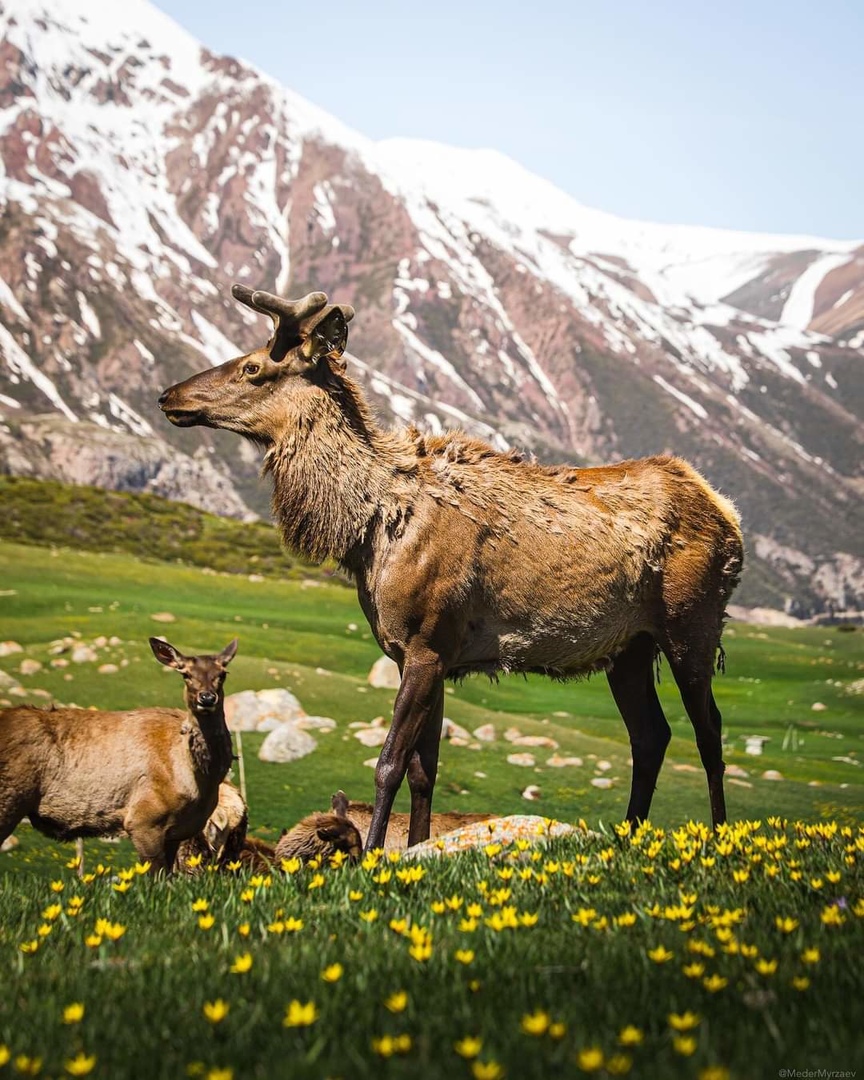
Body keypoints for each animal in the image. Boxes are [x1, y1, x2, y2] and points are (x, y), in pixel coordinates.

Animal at [0, 635, 236, 872]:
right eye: (185, 674)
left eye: (223, 673)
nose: (207, 698)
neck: (198, 782)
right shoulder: (143, 820)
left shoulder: (176, 833)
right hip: (9, 797)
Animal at [159, 282, 743, 846]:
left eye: (253, 367)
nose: (169, 395)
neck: (368, 530)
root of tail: (725, 510)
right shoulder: (423, 652)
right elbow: (426, 770)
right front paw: (417, 847)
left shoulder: (427, 641)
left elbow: (389, 763)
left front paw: (373, 851)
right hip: (628, 647)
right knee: (651, 735)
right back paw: (629, 834)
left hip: (692, 625)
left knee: (709, 731)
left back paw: (719, 835)